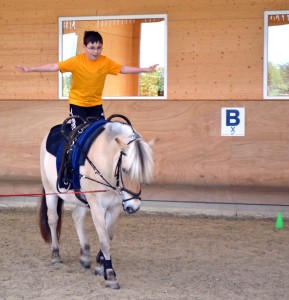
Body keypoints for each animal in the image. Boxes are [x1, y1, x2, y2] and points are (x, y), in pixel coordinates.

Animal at [39, 115, 155, 288]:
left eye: (143, 172)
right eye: (125, 170)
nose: (133, 207)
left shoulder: (114, 207)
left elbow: (108, 236)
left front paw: (100, 267)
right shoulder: (96, 207)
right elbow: (104, 240)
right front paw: (110, 275)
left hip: (82, 198)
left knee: (77, 217)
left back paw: (85, 255)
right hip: (50, 190)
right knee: (53, 219)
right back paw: (55, 255)